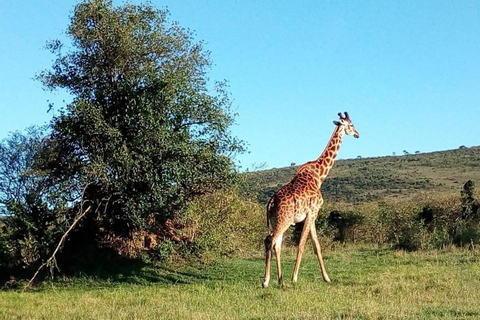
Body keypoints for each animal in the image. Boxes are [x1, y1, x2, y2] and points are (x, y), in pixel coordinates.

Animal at [262, 110, 360, 288]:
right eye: (351, 124)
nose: (357, 134)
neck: (319, 176)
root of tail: (270, 202)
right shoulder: (312, 212)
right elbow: (301, 245)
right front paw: (294, 278)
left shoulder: (312, 215)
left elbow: (317, 246)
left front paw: (326, 278)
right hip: (284, 220)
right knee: (270, 240)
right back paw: (266, 281)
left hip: (276, 221)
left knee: (276, 244)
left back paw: (280, 281)